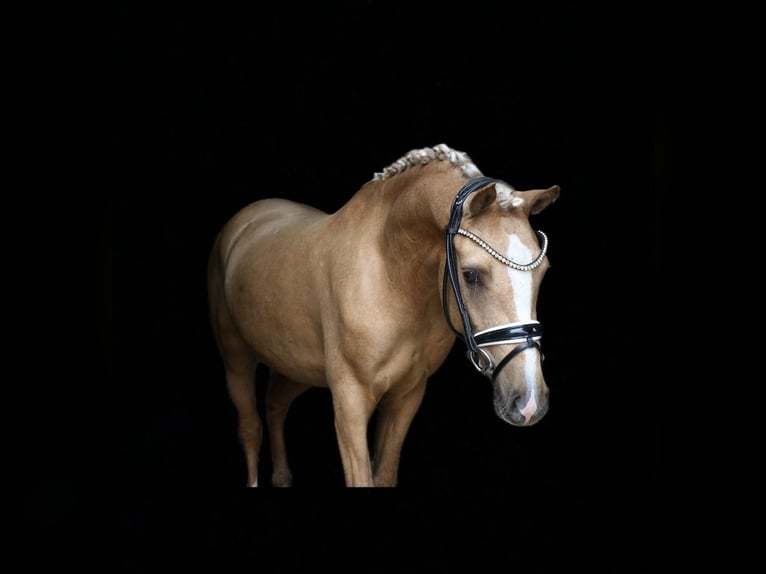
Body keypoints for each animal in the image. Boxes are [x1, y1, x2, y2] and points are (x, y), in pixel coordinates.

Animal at [207, 143, 560, 487]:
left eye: (543, 271)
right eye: (471, 275)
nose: (528, 402)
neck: (391, 279)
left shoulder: (406, 396)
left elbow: (385, 473)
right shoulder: (349, 402)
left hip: (295, 366)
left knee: (275, 405)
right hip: (237, 361)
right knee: (251, 429)